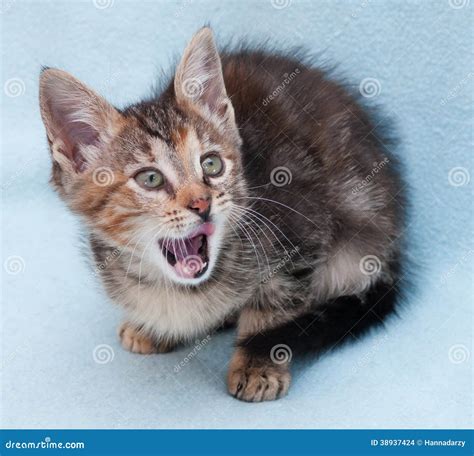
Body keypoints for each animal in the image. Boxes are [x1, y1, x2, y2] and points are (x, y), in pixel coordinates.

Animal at [39, 26, 406, 400]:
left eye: (211, 164)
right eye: (150, 179)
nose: (202, 203)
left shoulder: (301, 222)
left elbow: (274, 308)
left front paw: (258, 363)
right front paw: (154, 328)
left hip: (359, 228)